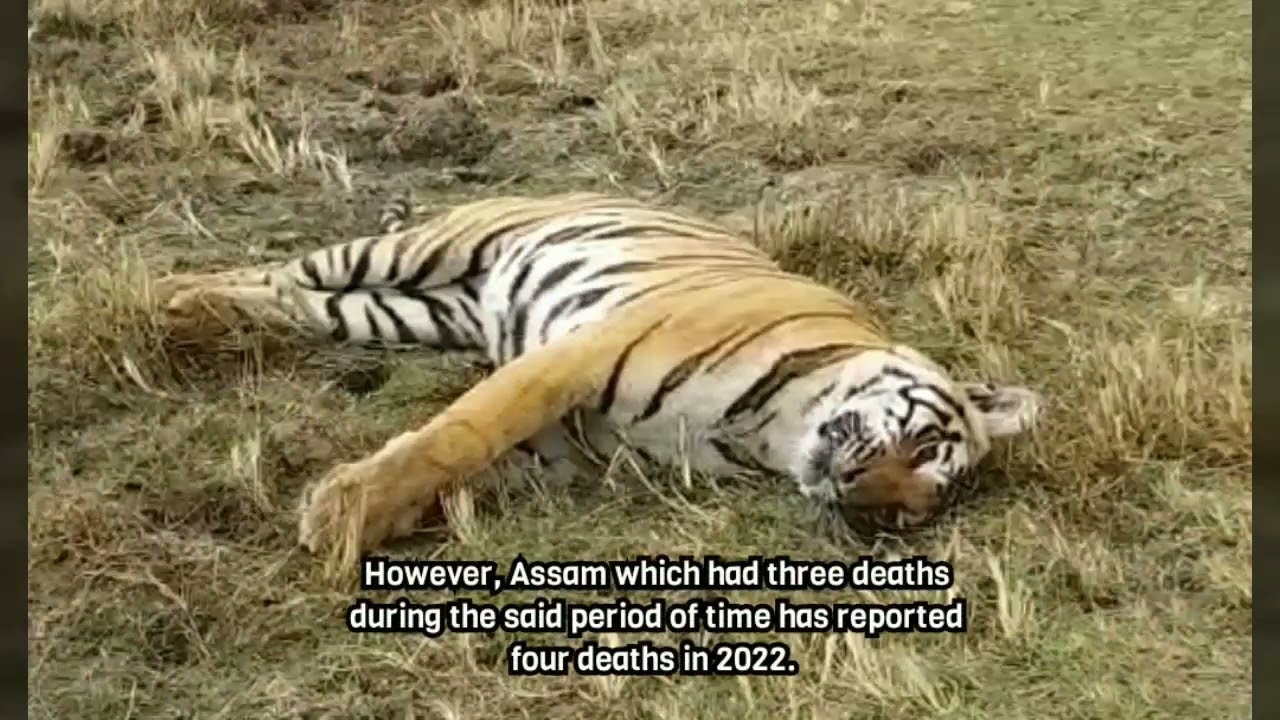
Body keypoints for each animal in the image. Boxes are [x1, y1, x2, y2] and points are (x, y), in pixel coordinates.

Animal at [152, 191, 1042, 573]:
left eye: (908, 517)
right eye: (921, 444)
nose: (866, 502)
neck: (766, 437)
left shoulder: (570, 452)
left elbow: (465, 472)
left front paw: (365, 511)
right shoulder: (571, 359)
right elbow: (458, 434)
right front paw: (344, 512)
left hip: (403, 314)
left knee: (291, 297)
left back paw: (194, 312)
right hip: (423, 249)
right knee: (287, 268)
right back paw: (170, 297)